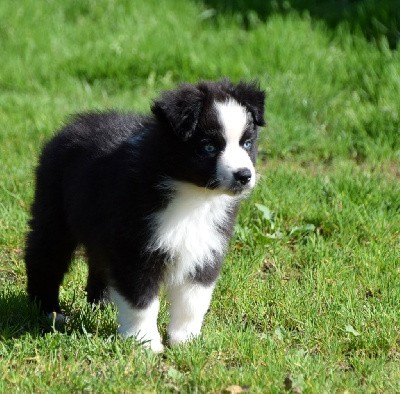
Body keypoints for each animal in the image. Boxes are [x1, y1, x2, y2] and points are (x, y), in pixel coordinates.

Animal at [23, 80, 264, 350]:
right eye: (209, 147)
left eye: (247, 143)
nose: (244, 175)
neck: (192, 195)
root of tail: (71, 125)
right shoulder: (135, 248)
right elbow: (142, 300)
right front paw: (145, 343)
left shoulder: (206, 245)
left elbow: (193, 299)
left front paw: (186, 341)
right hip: (54, 210)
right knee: (44, 256)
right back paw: (48, 311)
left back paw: (102, 304)